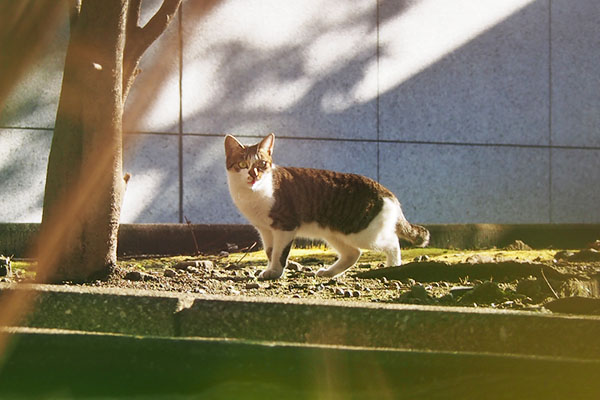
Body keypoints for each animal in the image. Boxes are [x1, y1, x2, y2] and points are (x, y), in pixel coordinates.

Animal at [223, 133, 428, 280]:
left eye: (262, 164)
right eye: (243, 164)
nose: (254, 175)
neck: (254, 193)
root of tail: (386, 192)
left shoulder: (285, 226)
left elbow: (280, 253)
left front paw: (275, 272)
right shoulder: (265, 229)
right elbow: (270, 251)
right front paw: (270, 269)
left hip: (363, 232)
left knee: (392, 242)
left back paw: (393, 266)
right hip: (335, 233)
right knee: (353, 253)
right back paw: (328, 272)